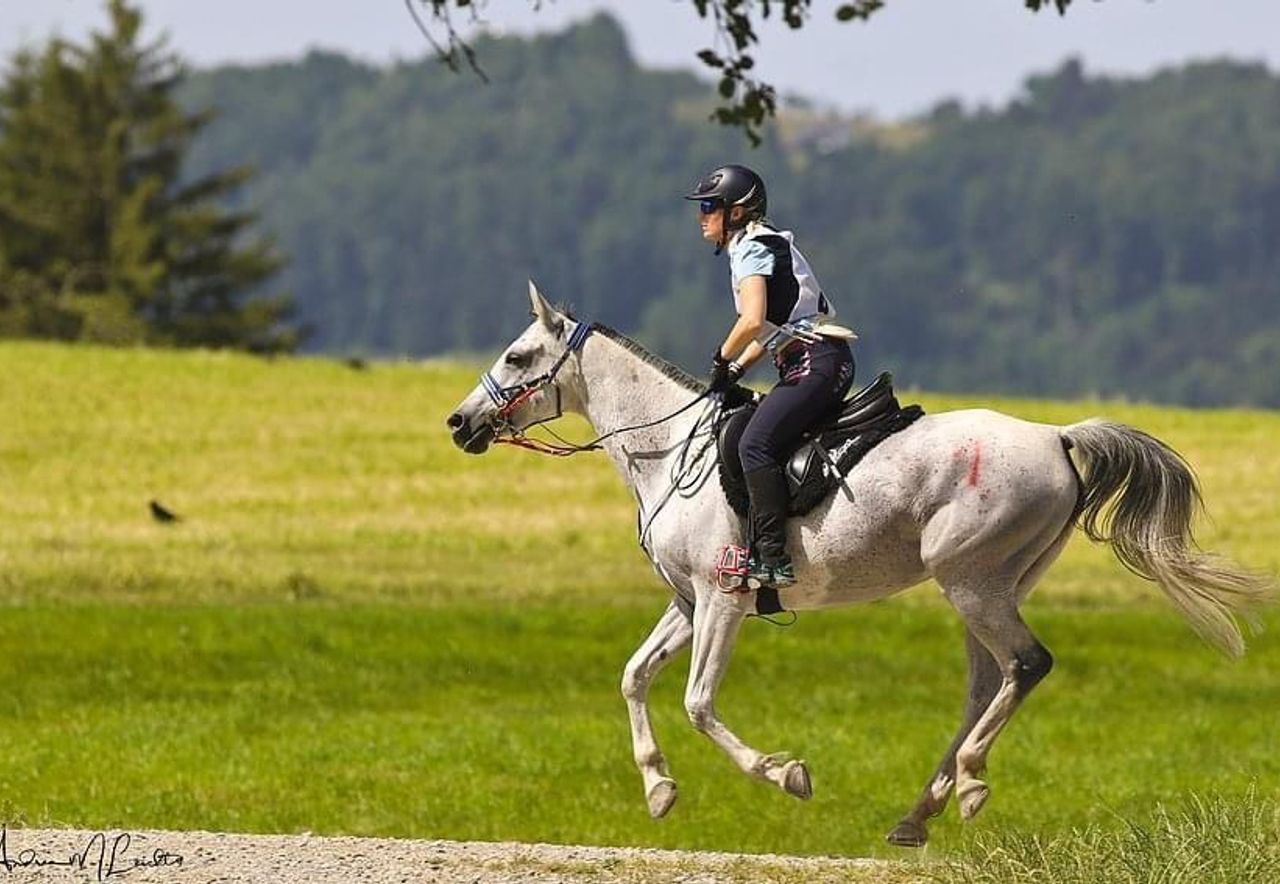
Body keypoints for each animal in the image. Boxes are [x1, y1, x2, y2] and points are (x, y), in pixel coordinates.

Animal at [445, 285, 1264, 849]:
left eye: (518, 357)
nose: (459, 424)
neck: (668, 448)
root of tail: (1057, 437)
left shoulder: (722, 599)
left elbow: (699, 703)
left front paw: (786, 774)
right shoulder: (686, 604)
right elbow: (634, 678)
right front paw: (658, 789)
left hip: (972, 582)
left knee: (1026, 665)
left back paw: (967, 783)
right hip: (989, 588)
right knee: (989, 684)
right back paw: (921, 812)